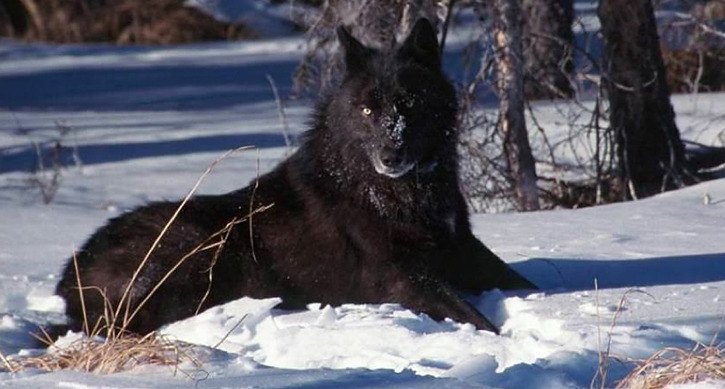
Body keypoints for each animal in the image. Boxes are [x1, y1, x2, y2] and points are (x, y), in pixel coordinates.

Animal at [55, 19, 532, 334]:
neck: (403, 193)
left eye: (409, 104)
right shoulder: (402, 276)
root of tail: (69, 274)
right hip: (198, 249)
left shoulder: (463, 251)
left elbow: (523, 283)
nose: (390, 155)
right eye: (367, 109)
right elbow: (477, 320)